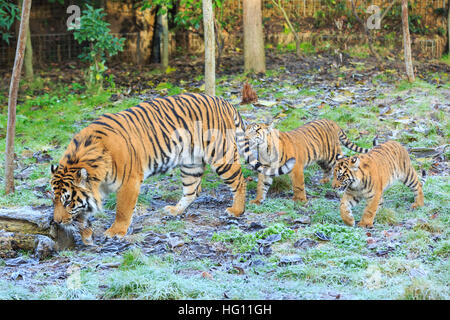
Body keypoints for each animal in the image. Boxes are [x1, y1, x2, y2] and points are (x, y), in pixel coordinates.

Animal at [51, 92, 294, 242]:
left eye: (67, 200)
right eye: (55, 201)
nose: (56, 221)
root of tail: (225, 102)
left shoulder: (129, 181)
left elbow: (122, 209)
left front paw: (115, 231)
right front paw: (85, 233)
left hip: (221, 156)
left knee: (239, 181)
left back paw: (236, 210)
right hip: (190, 163)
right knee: (192, 190)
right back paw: (175, 210)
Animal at [244, 119, 374, 204]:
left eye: (256, 131)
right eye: (246, 131)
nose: (245, 137)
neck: (264, 150)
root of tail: (331, 121)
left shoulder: (296, 167)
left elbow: (298, 185)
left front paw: (300, 200)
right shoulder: (266, 168)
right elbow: (261, 185)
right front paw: (257, 200)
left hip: (332, 155)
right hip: (322, 159)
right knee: (328, 169)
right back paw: (324, 181)